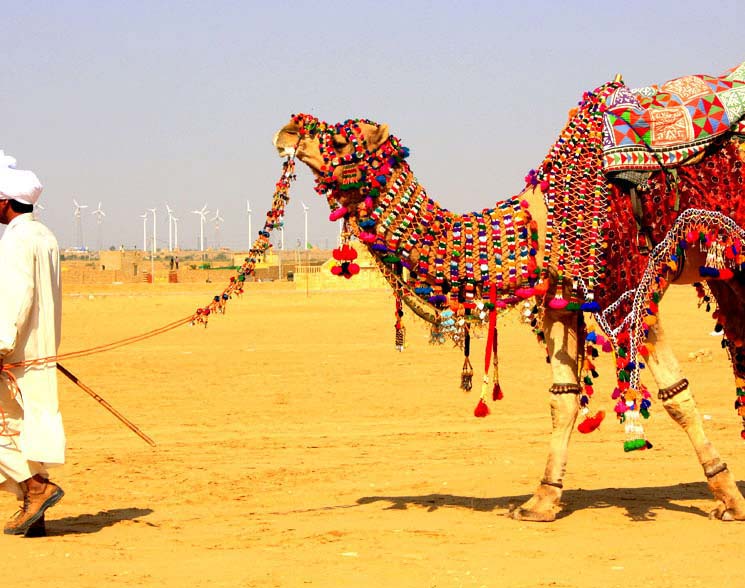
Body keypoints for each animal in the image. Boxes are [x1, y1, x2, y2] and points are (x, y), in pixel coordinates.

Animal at [270, 65, 744, 524]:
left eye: (338, 136)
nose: (287, 130)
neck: (542, 222)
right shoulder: (561, 299)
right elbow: (563, 399)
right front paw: (541, 502)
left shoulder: (628, 289)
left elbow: (676, 395)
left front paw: (728, 499)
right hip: (727, 271)